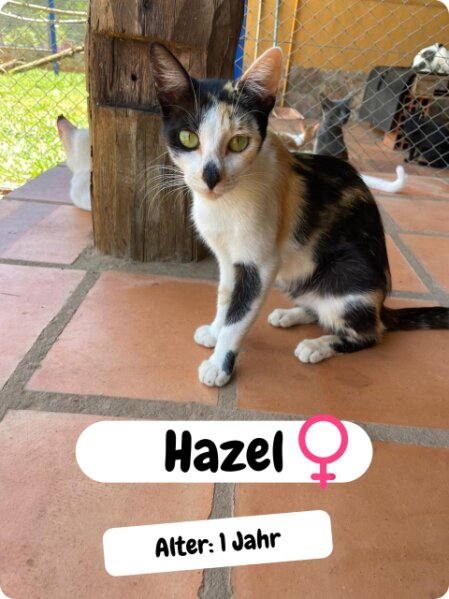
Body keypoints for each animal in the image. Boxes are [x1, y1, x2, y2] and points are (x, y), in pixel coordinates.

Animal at [150, 43, 449, 388]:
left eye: (239, 142)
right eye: (188, 138)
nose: (210, 177)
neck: (223, 205)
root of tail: (380, 305)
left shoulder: (260, 264)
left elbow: (239, 314)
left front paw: (219, 364)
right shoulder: (228, 259)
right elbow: (226, 297)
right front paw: (215, 330)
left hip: (346, 281)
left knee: (369, 333)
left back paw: (318, 345)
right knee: (321, 307)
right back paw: (292, 314)